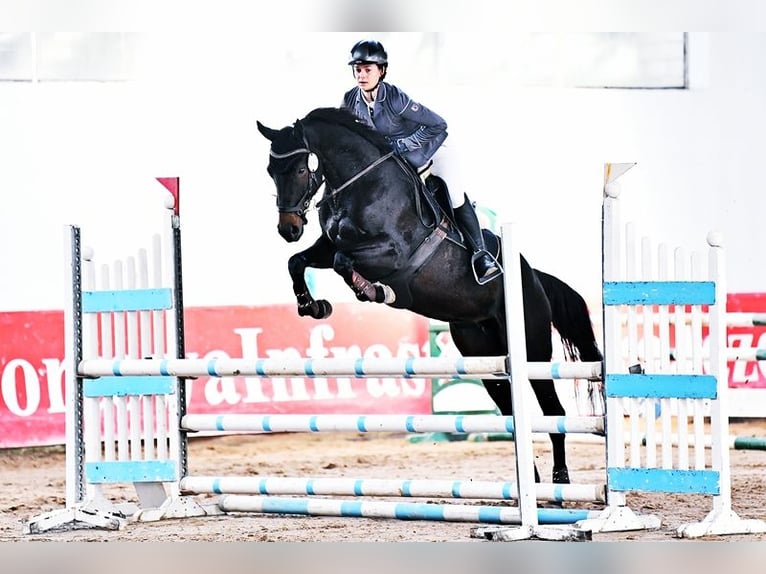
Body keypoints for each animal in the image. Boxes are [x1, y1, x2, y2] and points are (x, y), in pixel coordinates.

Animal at [258, 108, 608, 486]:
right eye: (270, 171)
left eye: (300, 169)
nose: (288, 229)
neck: (359, 183)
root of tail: (533, 275)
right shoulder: (328, 244)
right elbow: (299, 261)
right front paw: (312, 306)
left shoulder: (392, 252)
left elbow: (343, 261)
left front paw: (374, 290)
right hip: (485, 355)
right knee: (511, 411)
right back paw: (530, 481)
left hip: (532, 347)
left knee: (553, 410)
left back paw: (560, 477)